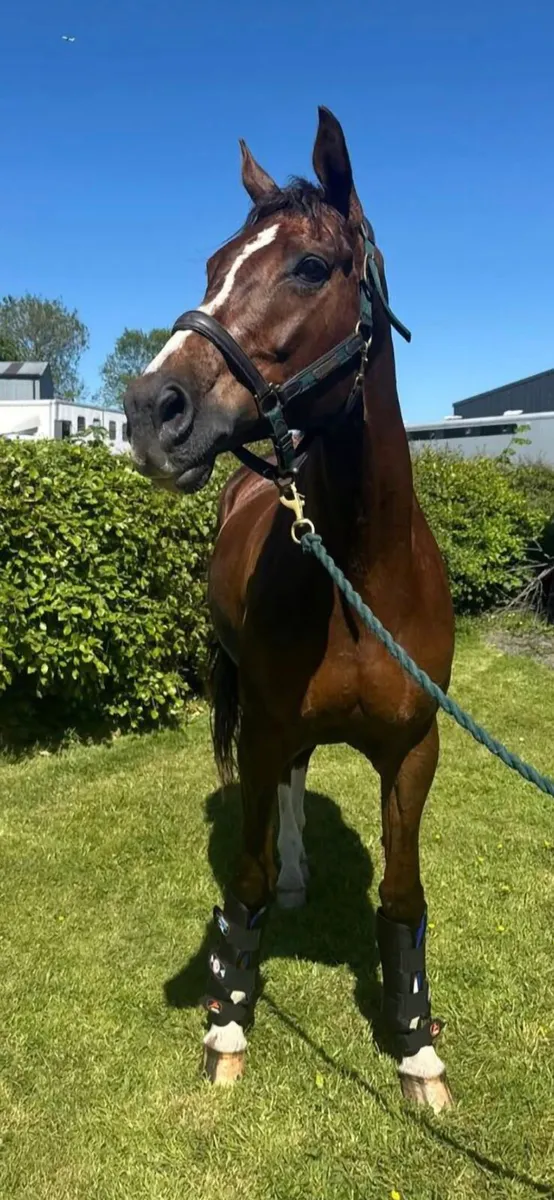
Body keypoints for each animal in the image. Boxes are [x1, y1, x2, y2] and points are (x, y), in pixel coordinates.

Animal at [123, 106, 455, 1113]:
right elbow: (249, 875)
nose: (150, 410)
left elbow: (402, 896)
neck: (358, 572)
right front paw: (228, 1020)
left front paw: (417, 1046)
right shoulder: (266, 727)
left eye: (310, 267)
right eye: (211, 265)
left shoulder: (414, 750)